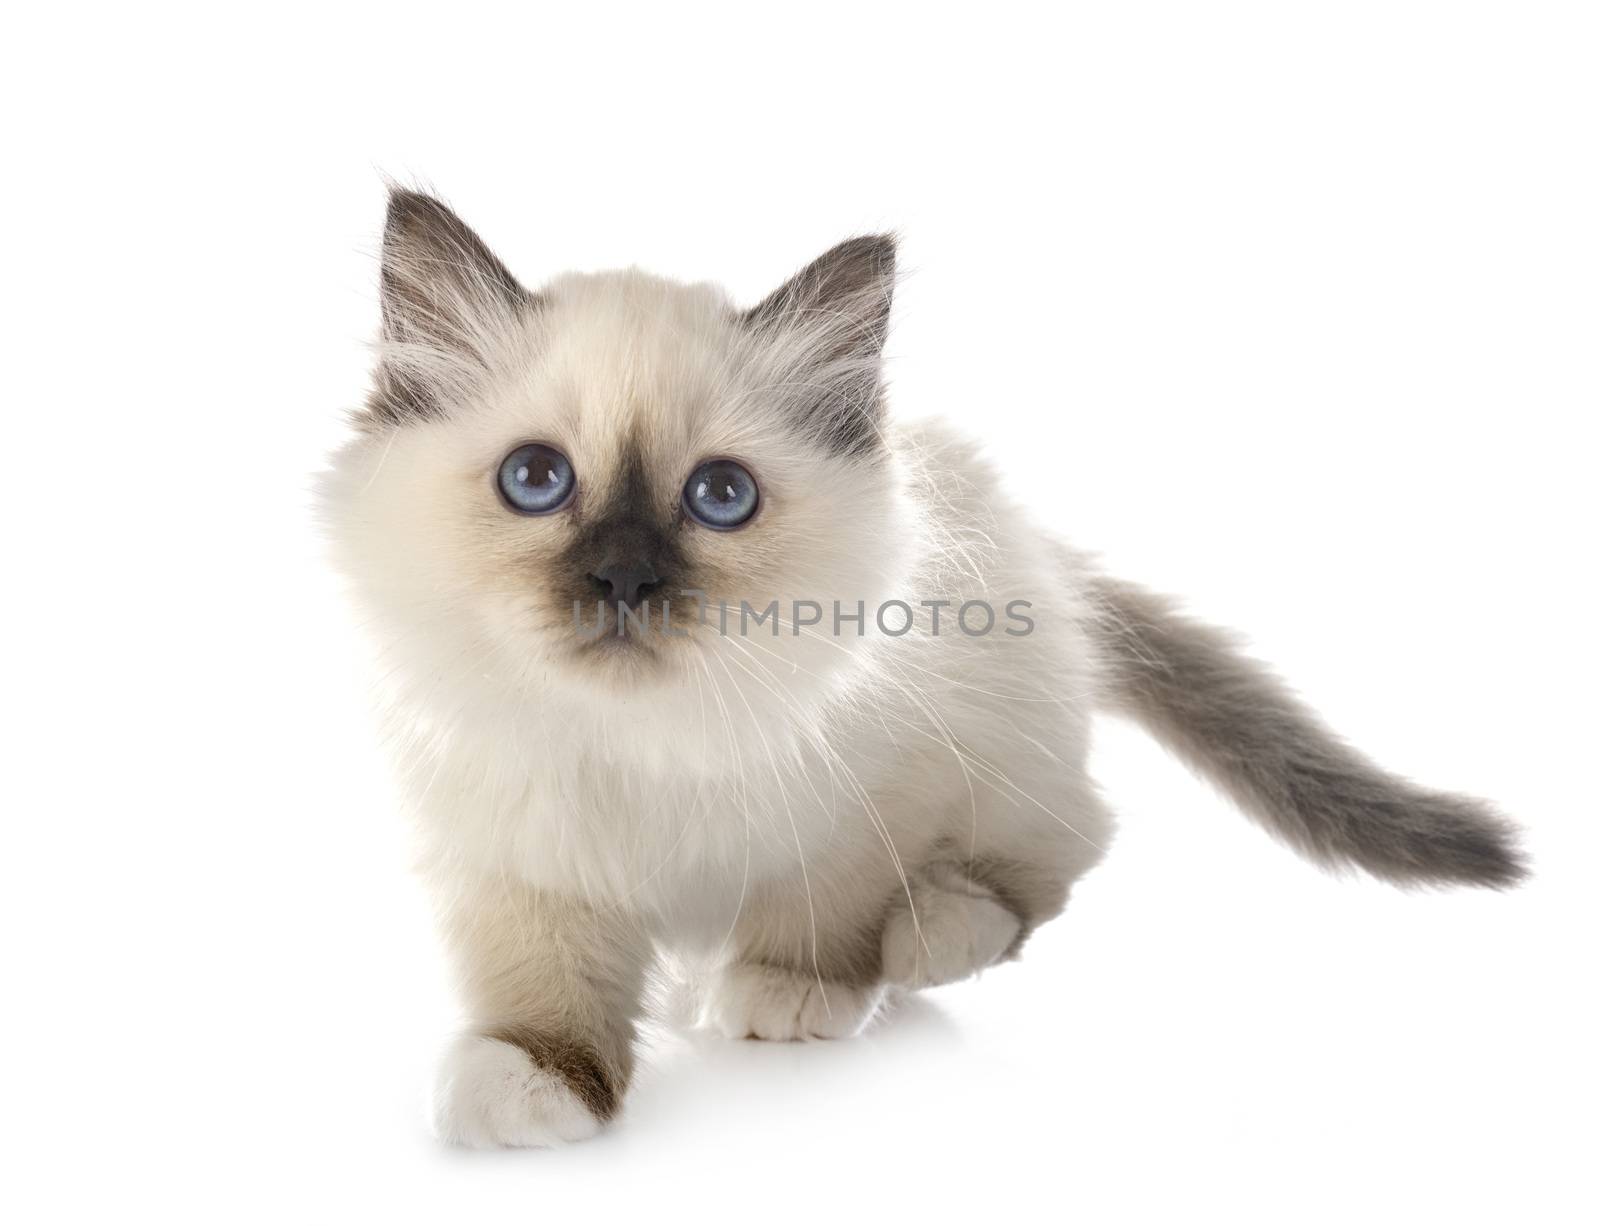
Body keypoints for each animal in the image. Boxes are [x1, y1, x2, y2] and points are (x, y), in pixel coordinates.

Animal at [315, 189, 1523, 1152]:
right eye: (535, 479)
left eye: (719, 497)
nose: (622, 579)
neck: (648, 741)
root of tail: (1047, 558)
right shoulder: (515, 855)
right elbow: (542, 984)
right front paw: (534, 1081)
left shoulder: (870, 796)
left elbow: (823, 905)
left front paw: (791, 990)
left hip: (1019, 747)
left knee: (1060, 856)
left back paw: (934, 930)